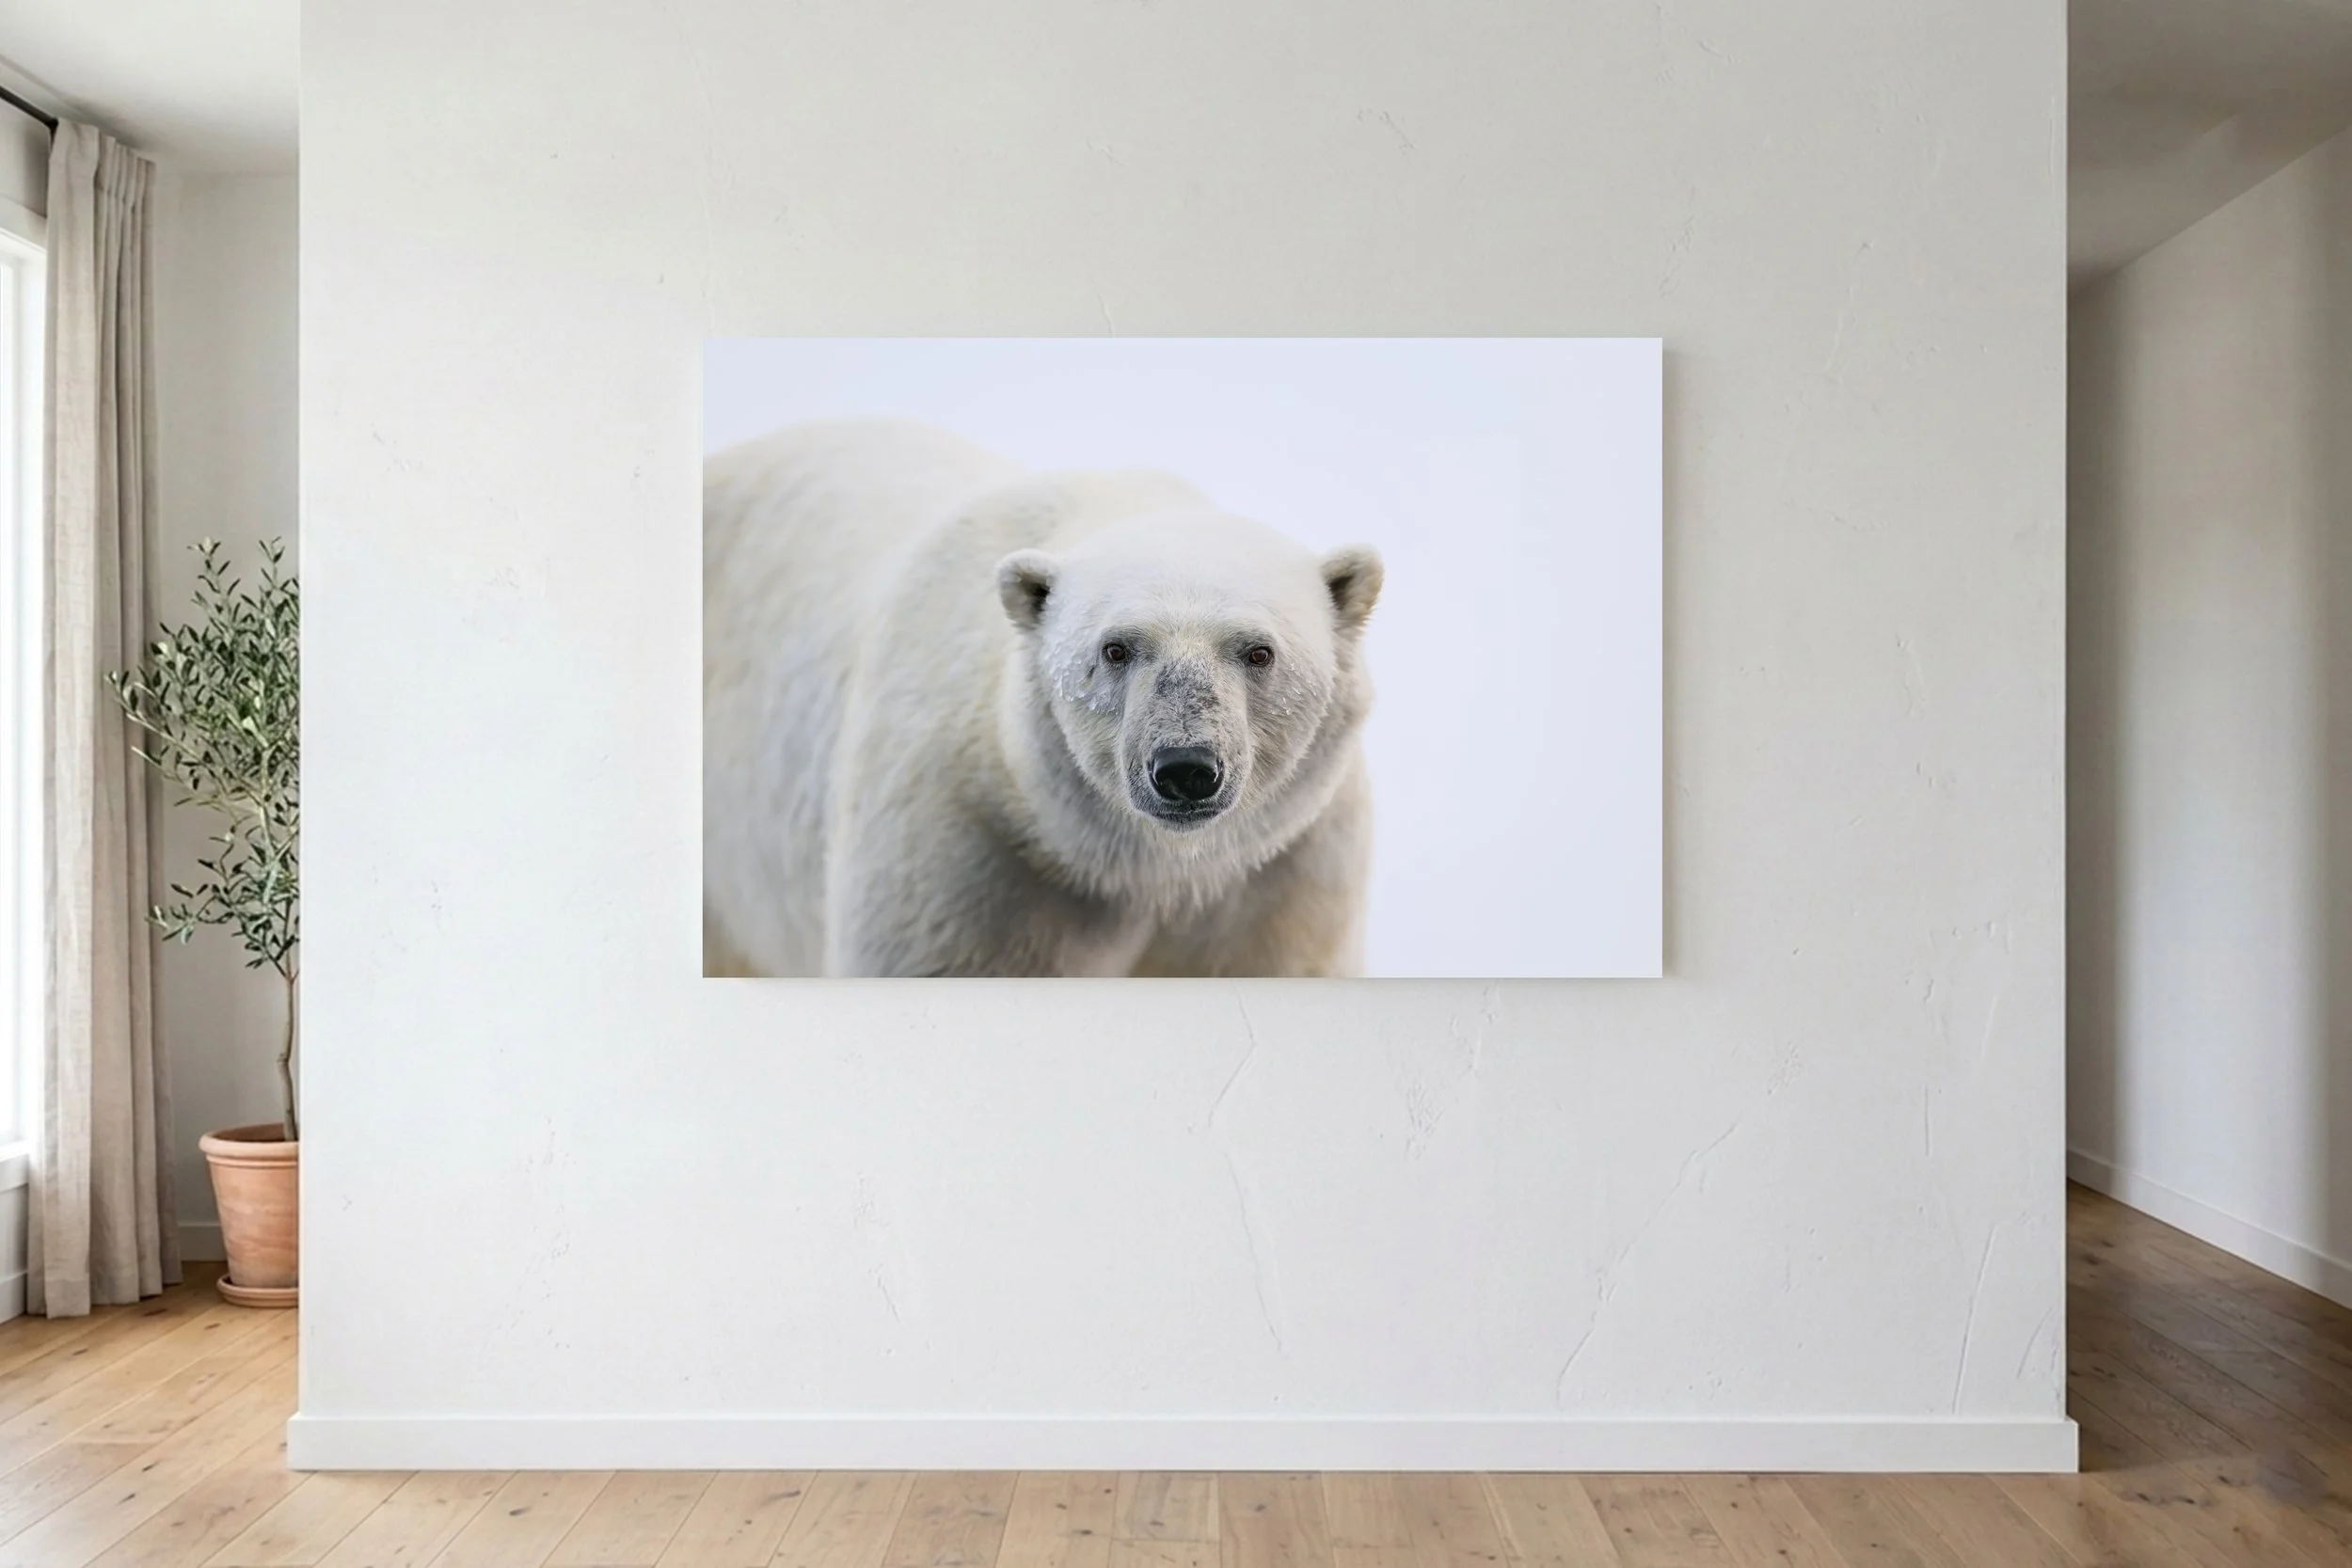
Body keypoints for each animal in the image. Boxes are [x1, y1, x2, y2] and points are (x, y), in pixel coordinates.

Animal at [702, 419, 1383, 978]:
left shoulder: (1285, 870)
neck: (1155, 869)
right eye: (1116, 648)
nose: (1185, 768)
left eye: (1258, 651)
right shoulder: (972, 847)